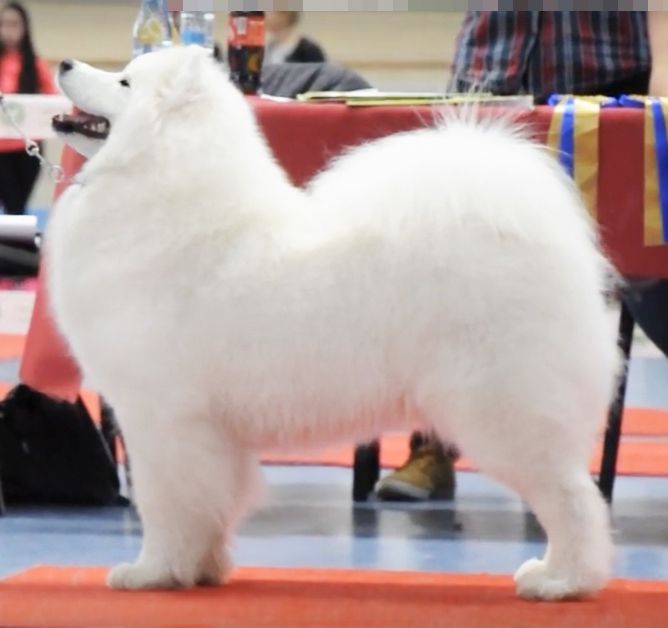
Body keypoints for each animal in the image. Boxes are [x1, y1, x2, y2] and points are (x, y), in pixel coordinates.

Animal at [49, 46, 620, 600]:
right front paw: (203, 570)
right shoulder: (205, 432)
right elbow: (209, 506)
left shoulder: (162, 418)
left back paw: (563, 581)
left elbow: (165, 505)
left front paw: (153, 573)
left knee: (573, 499)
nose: (64, 62)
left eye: (124, 81)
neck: (161, 187)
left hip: (502, 412)